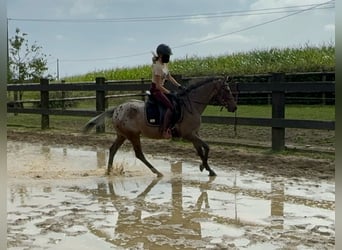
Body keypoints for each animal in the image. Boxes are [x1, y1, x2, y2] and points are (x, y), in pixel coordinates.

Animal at [83, 76, 238, 176]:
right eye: (227, 90)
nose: (234, 107)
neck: (191, 105)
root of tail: (116, 109)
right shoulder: (189, 134)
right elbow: (207, 147)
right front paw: (205, 168)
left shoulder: (194, 134)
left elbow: (200, 150)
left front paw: (206, 167)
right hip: (133, 135)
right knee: (139, 154)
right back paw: (157, 172)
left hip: (122, 135)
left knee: (113, 149)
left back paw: (109, 171)